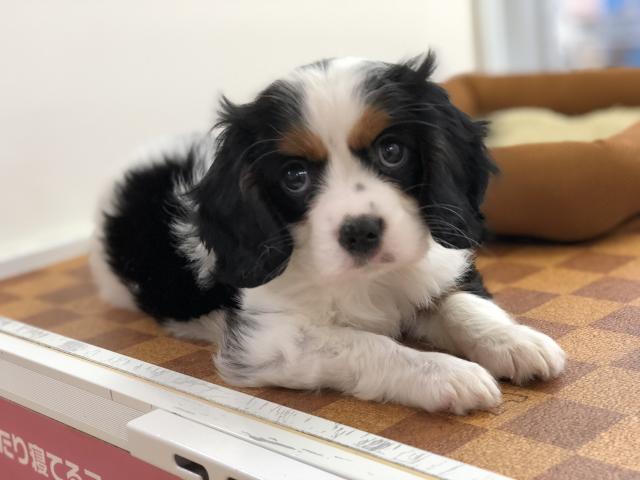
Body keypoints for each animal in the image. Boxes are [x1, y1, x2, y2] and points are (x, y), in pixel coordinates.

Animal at [90, 53, 565, 414]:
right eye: (295, 177)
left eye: (391, 151)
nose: (360, 232)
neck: (370, 279)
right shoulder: (271, 340)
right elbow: (366, 344)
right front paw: (446, 373)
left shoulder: (439, 266)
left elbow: (463, 305)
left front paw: (515, 341)